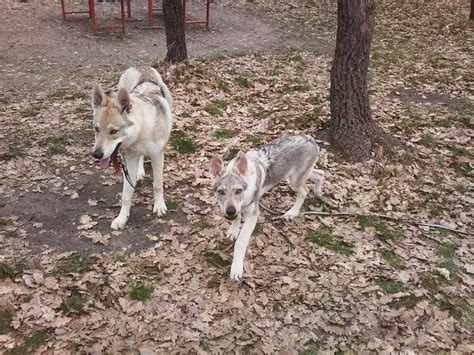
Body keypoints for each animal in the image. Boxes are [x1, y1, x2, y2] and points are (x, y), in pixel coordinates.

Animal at [90, 67, 172, 231]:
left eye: (113, 131)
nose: (97, 154)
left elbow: (157, 185)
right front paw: (122, 219)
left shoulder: (157, 156)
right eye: (96, 129)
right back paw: (140, 172)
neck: (142, 130)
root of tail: (140, 67)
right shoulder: (130, 159)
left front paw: (159, 206)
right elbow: (126, 196)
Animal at [210, 135, 324, 282]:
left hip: (294, 180)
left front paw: (236, 268)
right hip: (303, 174)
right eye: (221, 192)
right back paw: (318, 192)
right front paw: (233, 231)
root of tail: (310, 139)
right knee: (321, 173)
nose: (230, 211)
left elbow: (241, 242)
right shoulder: (238, 208)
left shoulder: (253, 214)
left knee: (305, 191)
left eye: (238, 191)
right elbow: (237, 219)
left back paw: (292, 213)